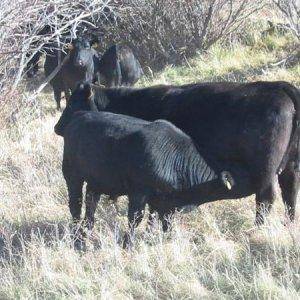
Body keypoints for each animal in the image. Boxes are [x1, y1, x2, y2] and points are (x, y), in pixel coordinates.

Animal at [54, 83, 237, 247]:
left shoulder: (162, 202)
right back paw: (78, 239)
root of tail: (79, 116)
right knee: (75, 205)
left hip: (96, 181)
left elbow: (159, 220)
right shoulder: (139, 192)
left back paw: (86, 232)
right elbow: (136, 218)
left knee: (91, 206)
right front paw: (128, 244)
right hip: (72, 175)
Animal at [55, 81, 300, 224]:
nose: (57, 128)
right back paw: (289, 224)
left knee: (266, 199)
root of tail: (281, 87)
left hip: (265, 170)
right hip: (291, 166)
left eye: (73, 103)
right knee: (290, 193)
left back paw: (259, 228)